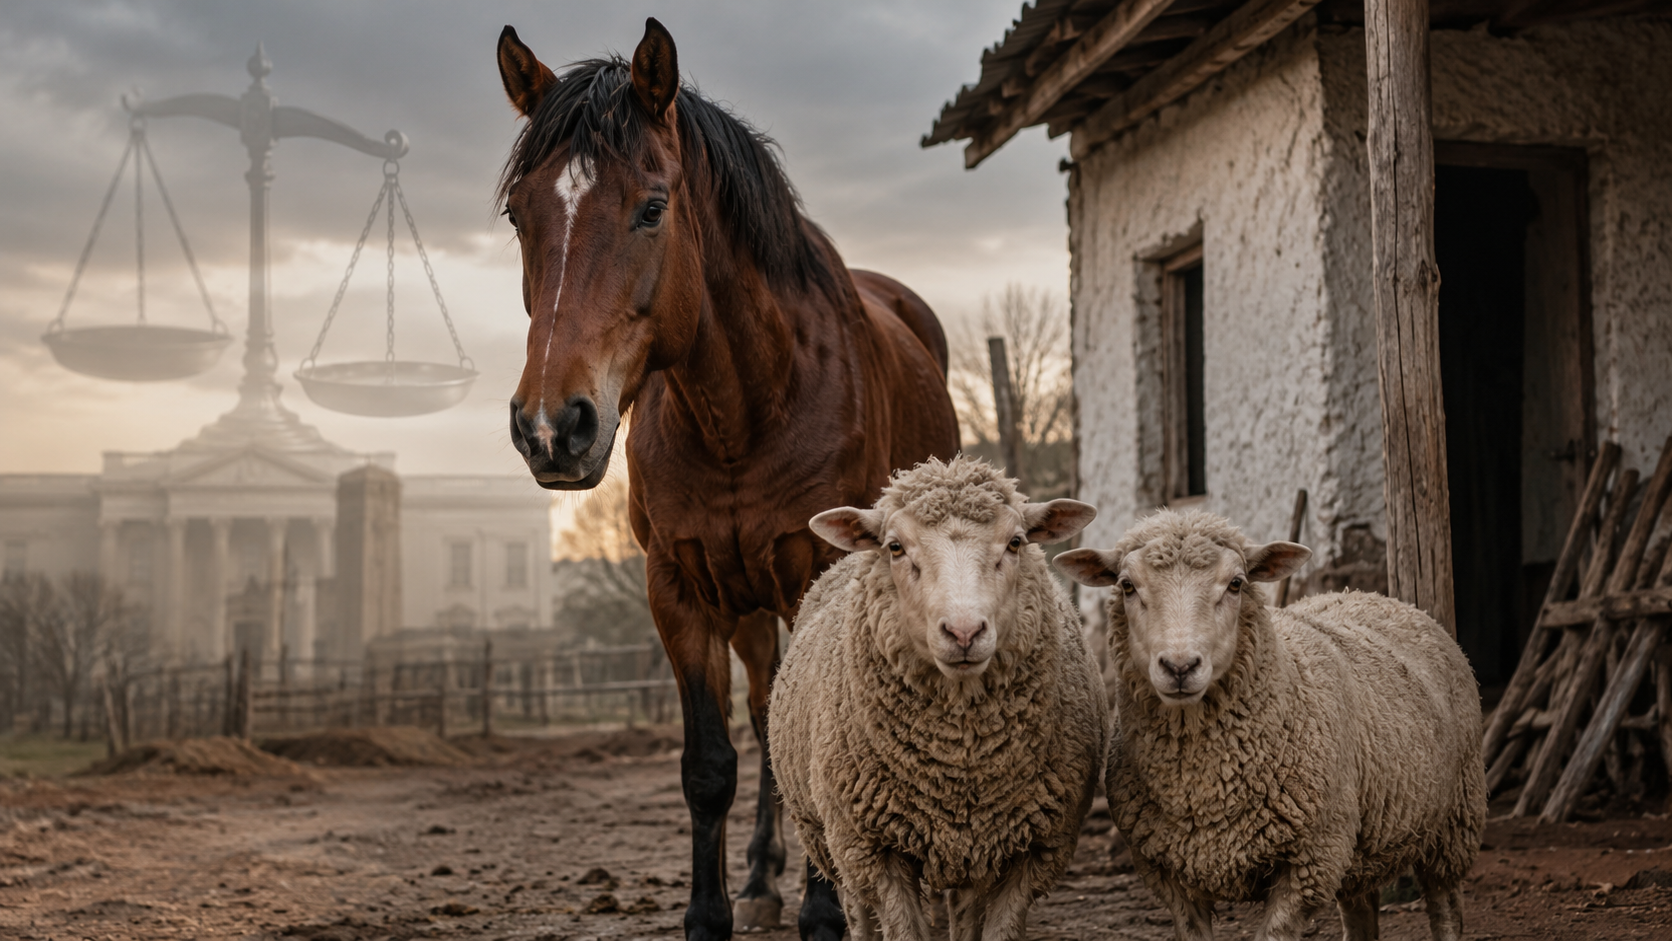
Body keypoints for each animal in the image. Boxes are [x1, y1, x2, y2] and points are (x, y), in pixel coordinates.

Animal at [494, 18, 960, 941]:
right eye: (518, 212)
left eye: (651, 206)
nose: (552, 427)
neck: (744, 409)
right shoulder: (677, 589)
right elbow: (711, 764)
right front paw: (714, 911)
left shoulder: (824, 574)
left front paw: (827, 913)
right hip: (746, 608)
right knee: (767, 713)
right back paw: (760, 875)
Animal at [769, 456, 1107, 941]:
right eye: (894, 547)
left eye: (1016, 542)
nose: (964, 632)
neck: (959, 764)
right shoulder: (873, 851)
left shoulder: (1035, 849)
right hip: (829, 835)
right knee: (855, 909)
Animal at [1054, 509, 1485, 941]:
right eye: (1127, 586)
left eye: (1236, 584)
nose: (1180, 666)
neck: (1203, 786)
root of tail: (1372, 595)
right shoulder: (1168, 875)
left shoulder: (1310, 862)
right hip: (1360, 848)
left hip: (1452, 822)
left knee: (1446, 906)